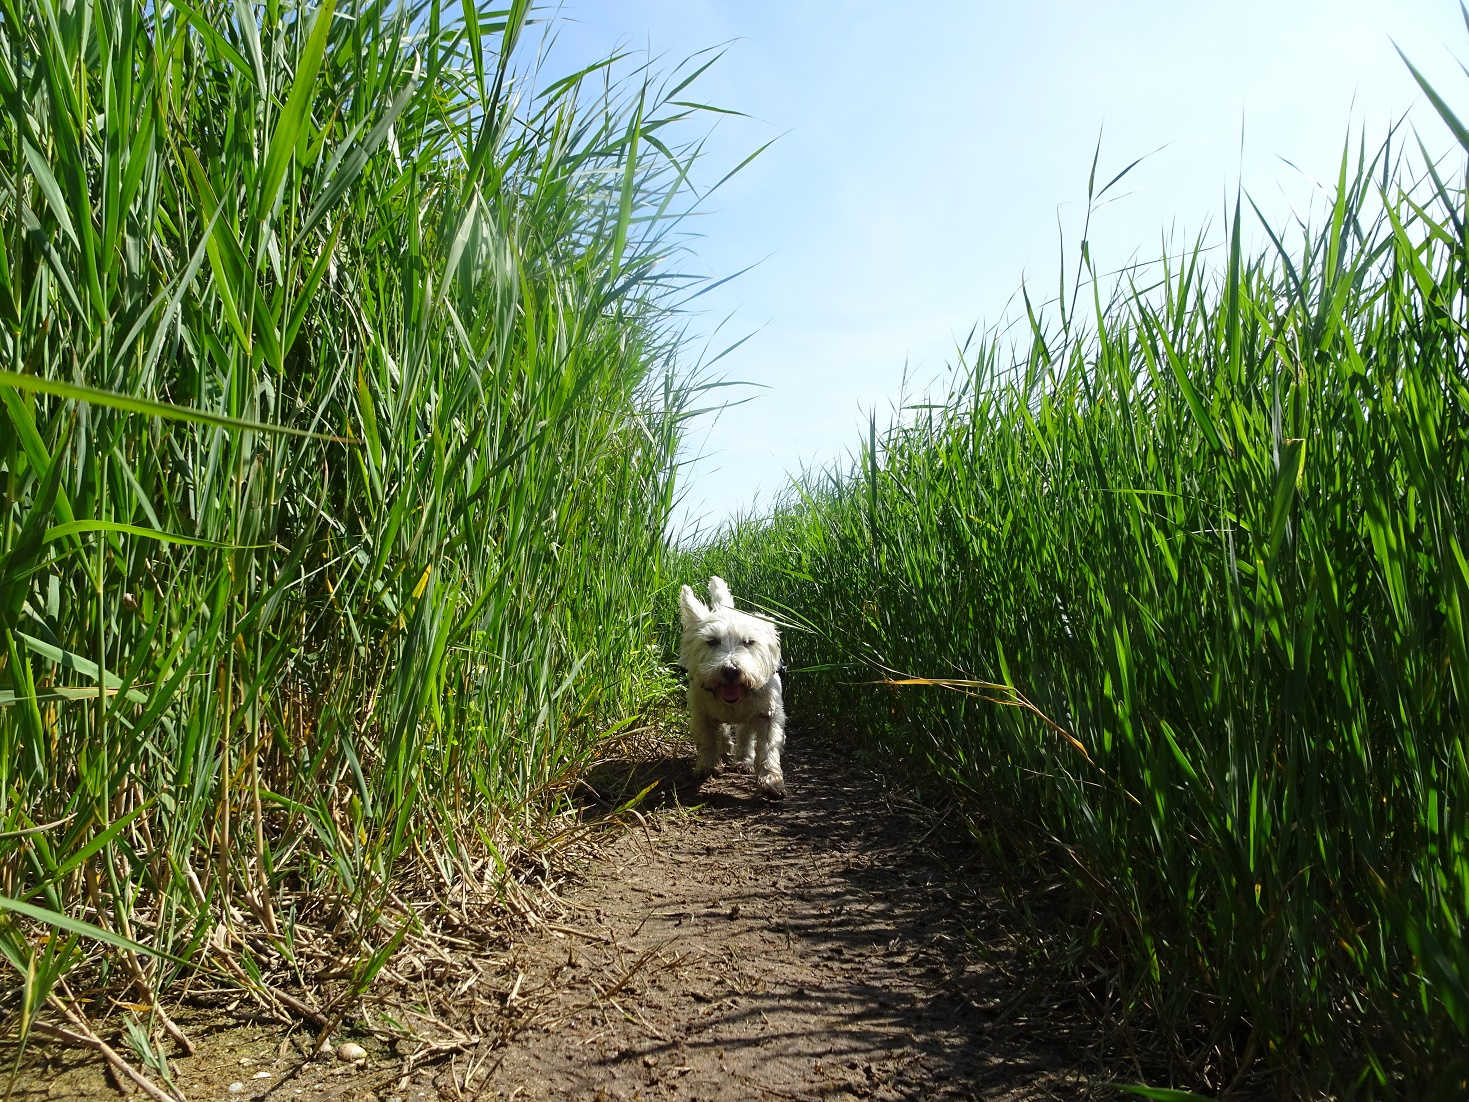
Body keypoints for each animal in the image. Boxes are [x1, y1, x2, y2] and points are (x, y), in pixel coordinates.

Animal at [675, 578, 787, 805]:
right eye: (711, 641)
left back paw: (743, 760)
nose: (731, 670)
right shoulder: (702, 713)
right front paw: (707, 766)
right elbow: (707, 740)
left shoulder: (768, 714)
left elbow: (768, 749)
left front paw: (771, 782)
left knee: (745, 735)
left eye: (749, 642)